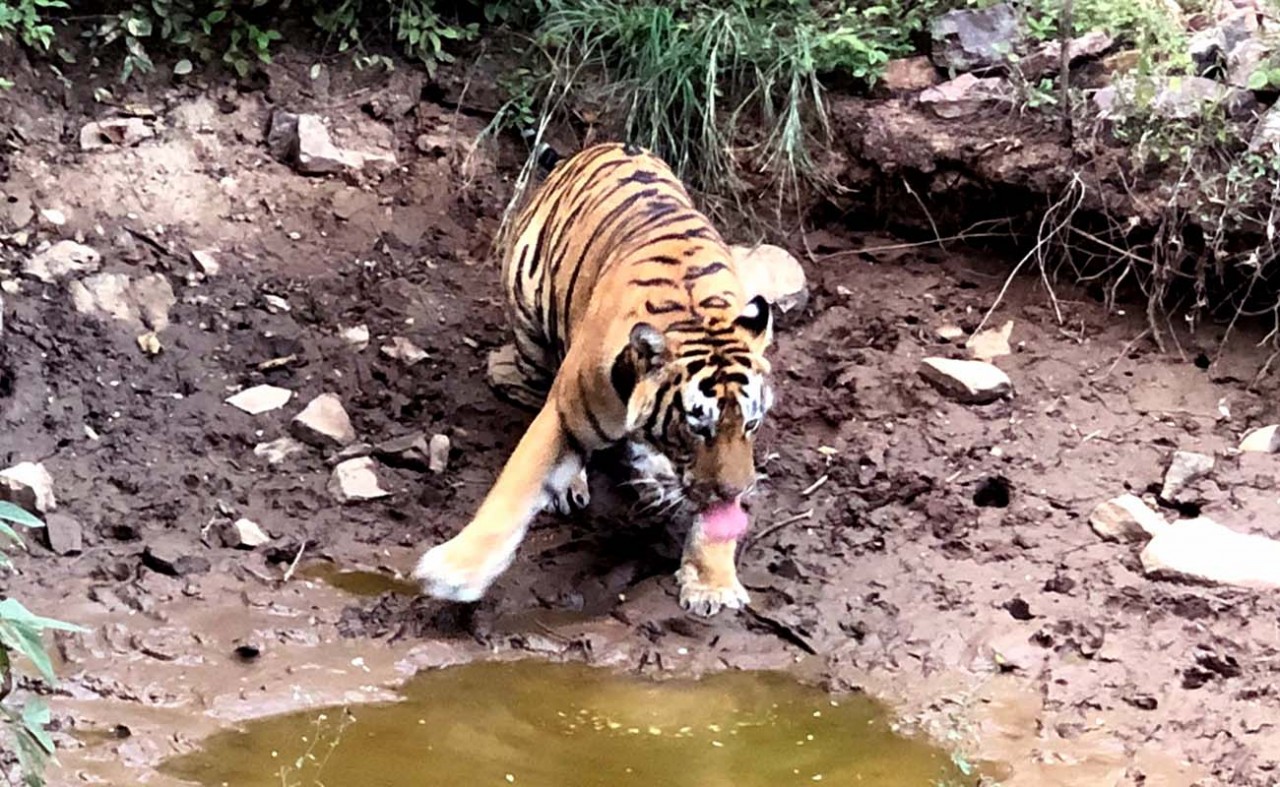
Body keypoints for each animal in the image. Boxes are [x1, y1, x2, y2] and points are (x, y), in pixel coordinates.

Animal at [414, 144, 773, 619]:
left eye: (750, 424)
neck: (696, 314)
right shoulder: (566, 414)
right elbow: (514, 489)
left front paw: (712, 583)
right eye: (698, 427)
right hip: (531, 327)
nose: (738, 489)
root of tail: (600, 147)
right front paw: (454, 572)